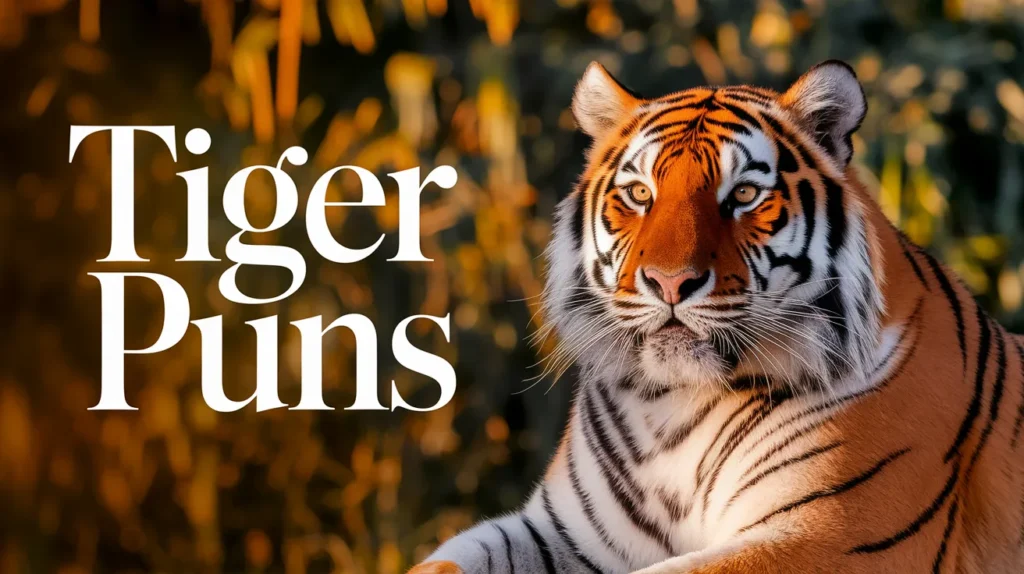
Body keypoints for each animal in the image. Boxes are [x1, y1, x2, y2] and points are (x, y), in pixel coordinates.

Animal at [408, 60, 1024, 573]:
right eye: (639, 194)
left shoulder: (835, 535)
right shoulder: (559, 532)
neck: (672, 405)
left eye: (745, 194)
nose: (669, 283)